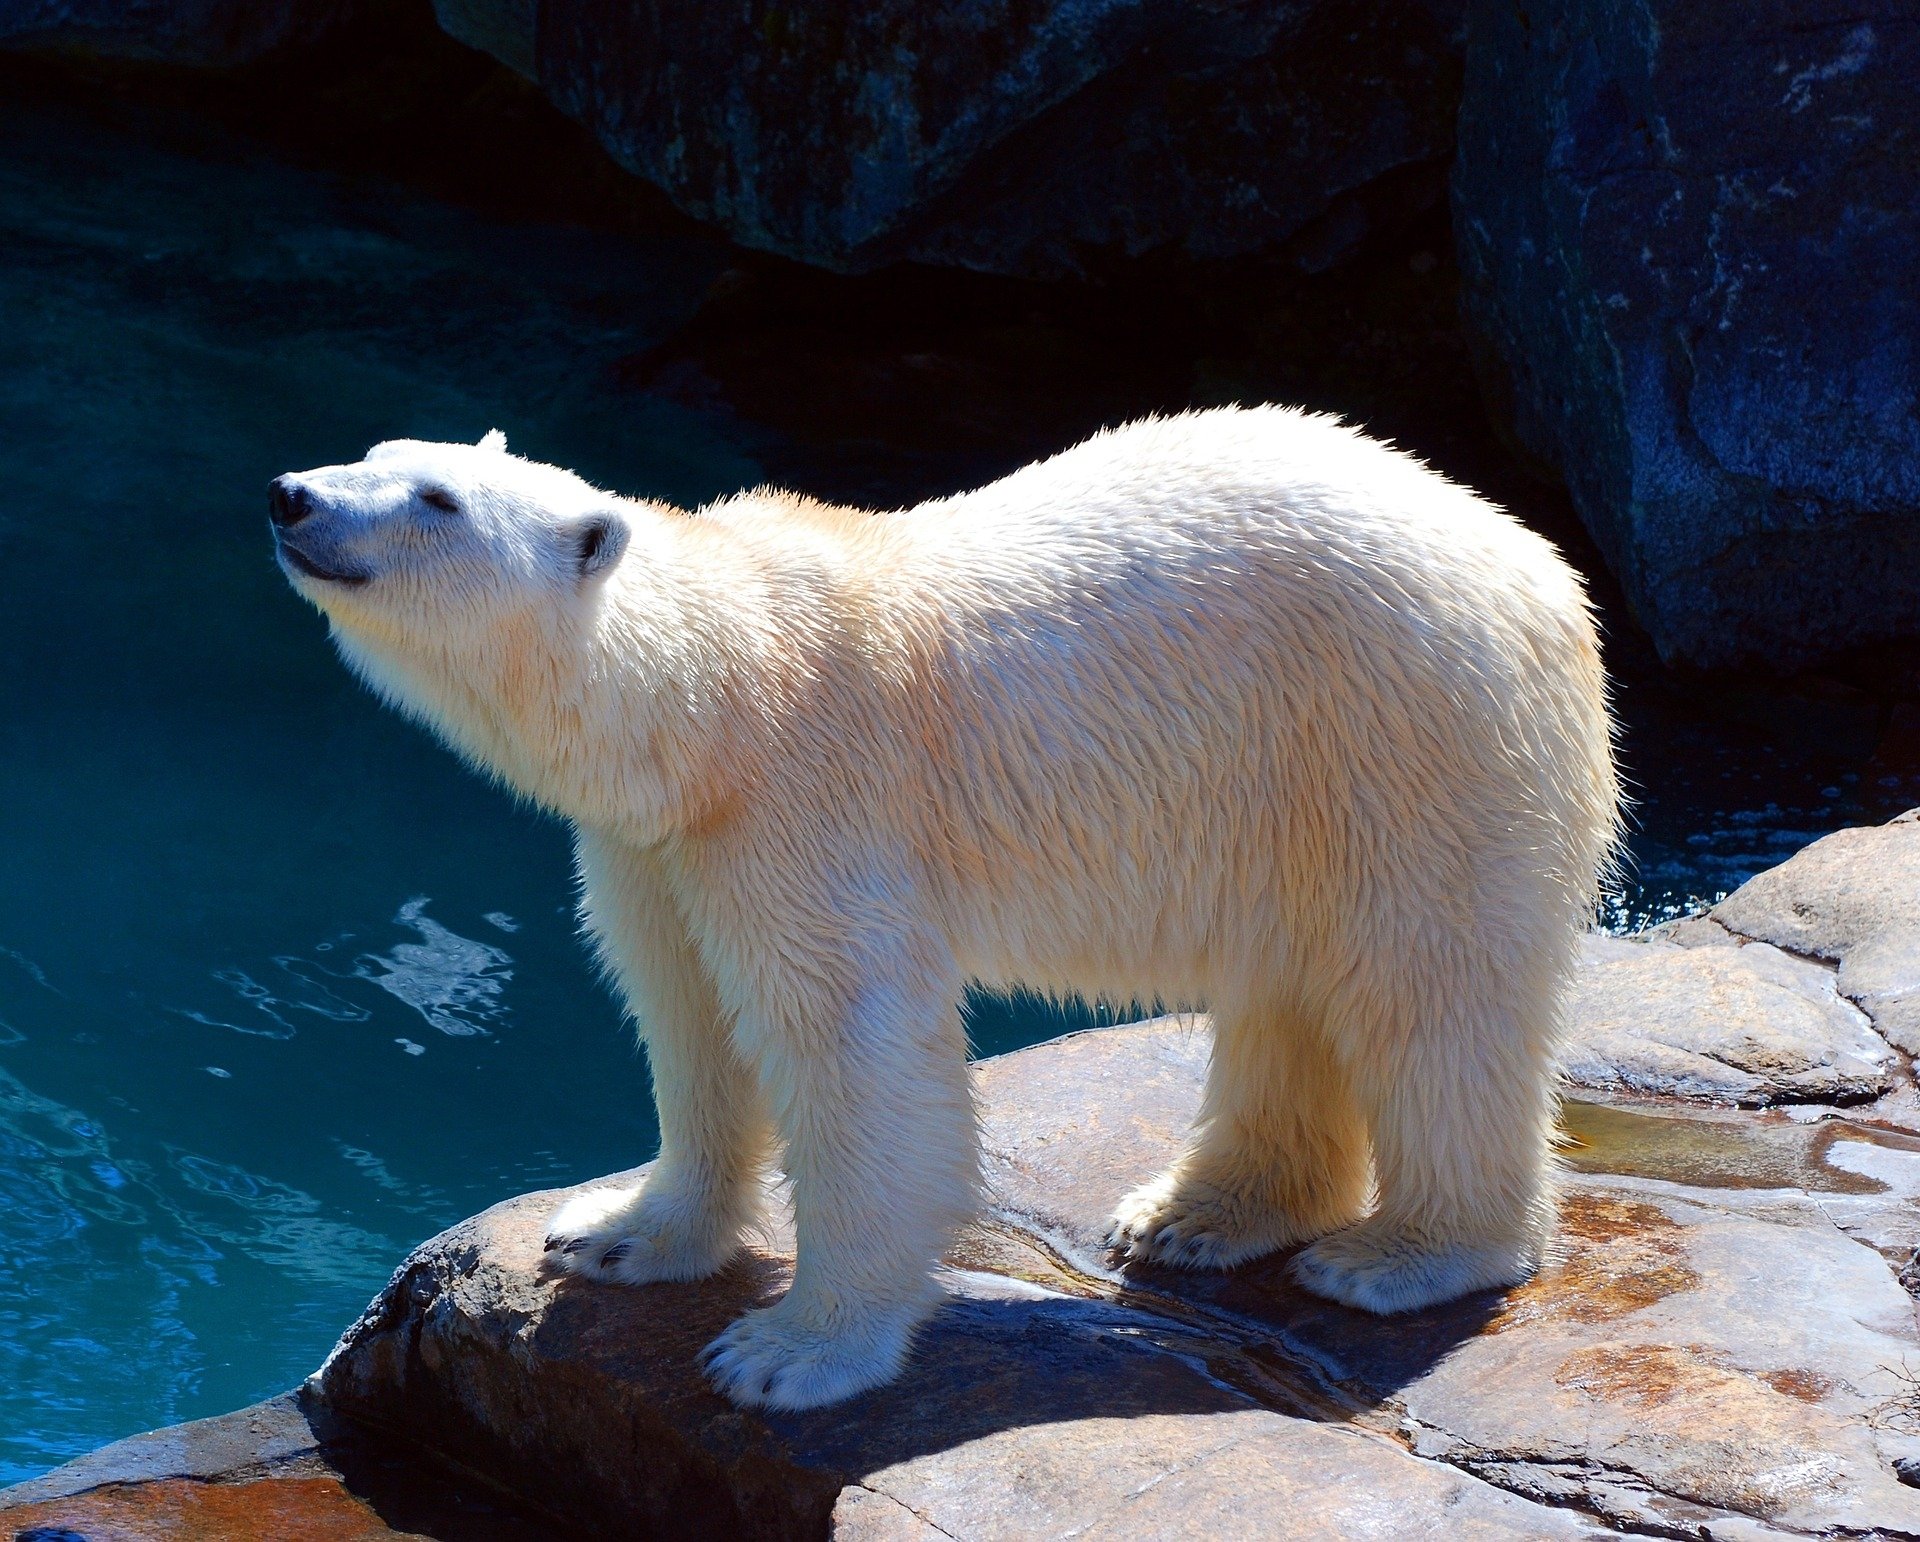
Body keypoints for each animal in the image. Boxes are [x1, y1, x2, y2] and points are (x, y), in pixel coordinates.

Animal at [269, 406, 1619, 1412]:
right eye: (378, 453)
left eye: (437, 501)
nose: (291, 493)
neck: (719, 694)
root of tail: (1541, 570)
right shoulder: (661, 846)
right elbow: (689, 1016)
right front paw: (615, 1233)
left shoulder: (808, 807)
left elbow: (852, 1050)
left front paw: (789, 1352)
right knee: (1291, 987)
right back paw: (1196, 1217)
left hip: (1408, 733)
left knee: (1429, 989)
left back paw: (1404, 1256)